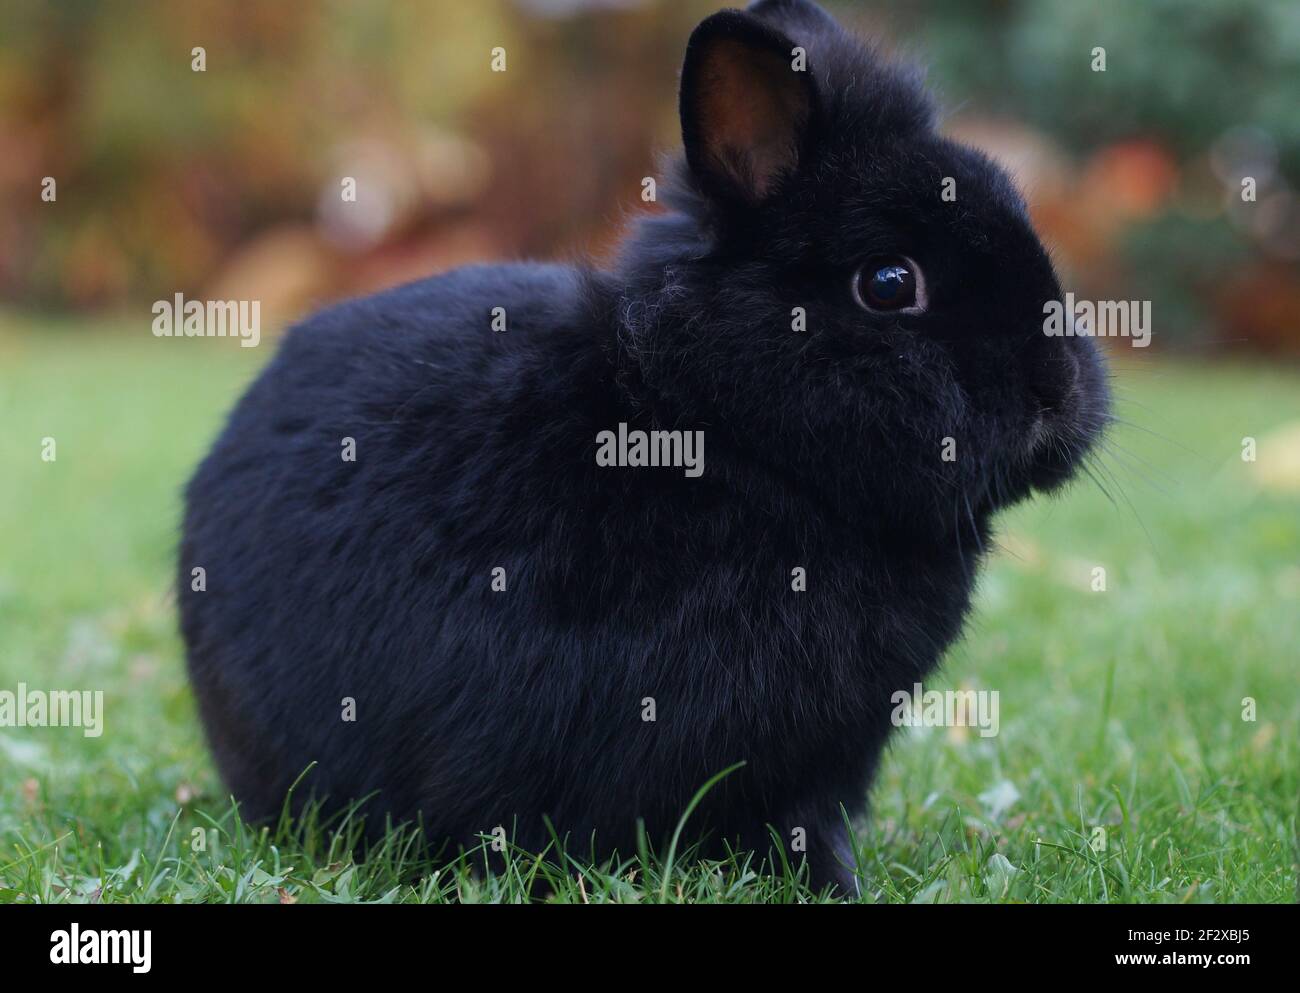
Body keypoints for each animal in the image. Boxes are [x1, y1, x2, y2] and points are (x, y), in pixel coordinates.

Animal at [178, 0, 1107, 899]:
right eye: (888, 283)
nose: (1057, 389)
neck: (717, 433)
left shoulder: (820, 765)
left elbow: (807, 831)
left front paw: (834, 886)